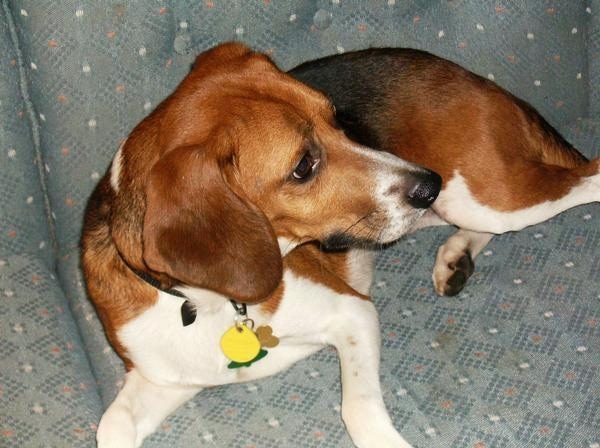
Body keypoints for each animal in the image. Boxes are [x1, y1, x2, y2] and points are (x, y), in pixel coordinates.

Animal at [81, 42, 600, 448]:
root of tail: (470, 76)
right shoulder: (163, 378)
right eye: (303, 166)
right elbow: (111, 424)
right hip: (465, 205)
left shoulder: (353, 312)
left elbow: (359, 410)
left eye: (337, 119)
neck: (210, 304)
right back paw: (456, 258)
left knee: (586, 178)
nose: (427, 184)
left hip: (486, 196)